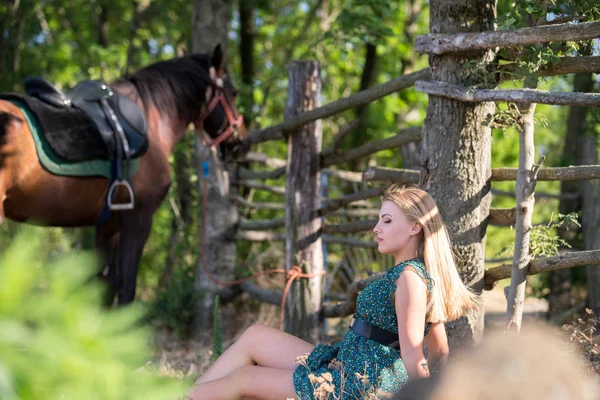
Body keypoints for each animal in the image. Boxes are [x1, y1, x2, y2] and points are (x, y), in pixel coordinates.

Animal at [0, 45, 246, 304]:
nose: (242, 143)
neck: (152, 118)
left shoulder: (109, 225)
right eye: (234, 92)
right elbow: (126, 289)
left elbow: (104, 290)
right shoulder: (138, 220)